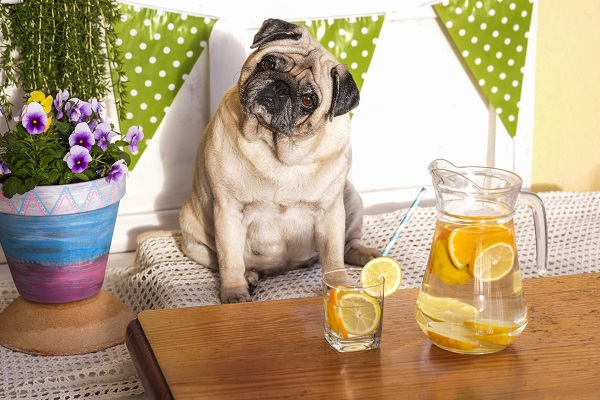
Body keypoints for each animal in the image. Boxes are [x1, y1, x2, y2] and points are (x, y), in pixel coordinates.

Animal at [179, 17, 380, 302]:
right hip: (193, 236)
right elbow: (230, 259)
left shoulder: (330, 212)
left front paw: (339, 286)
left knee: (347, 246)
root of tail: (282, 268)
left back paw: (368, 255)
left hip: (350, 199)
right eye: (269, 64)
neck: (277, 147)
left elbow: (333, 256)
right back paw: (249, 277)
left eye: (308, 100)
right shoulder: (228, 211)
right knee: (227, 261)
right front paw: (234, 293)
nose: (281, 86)